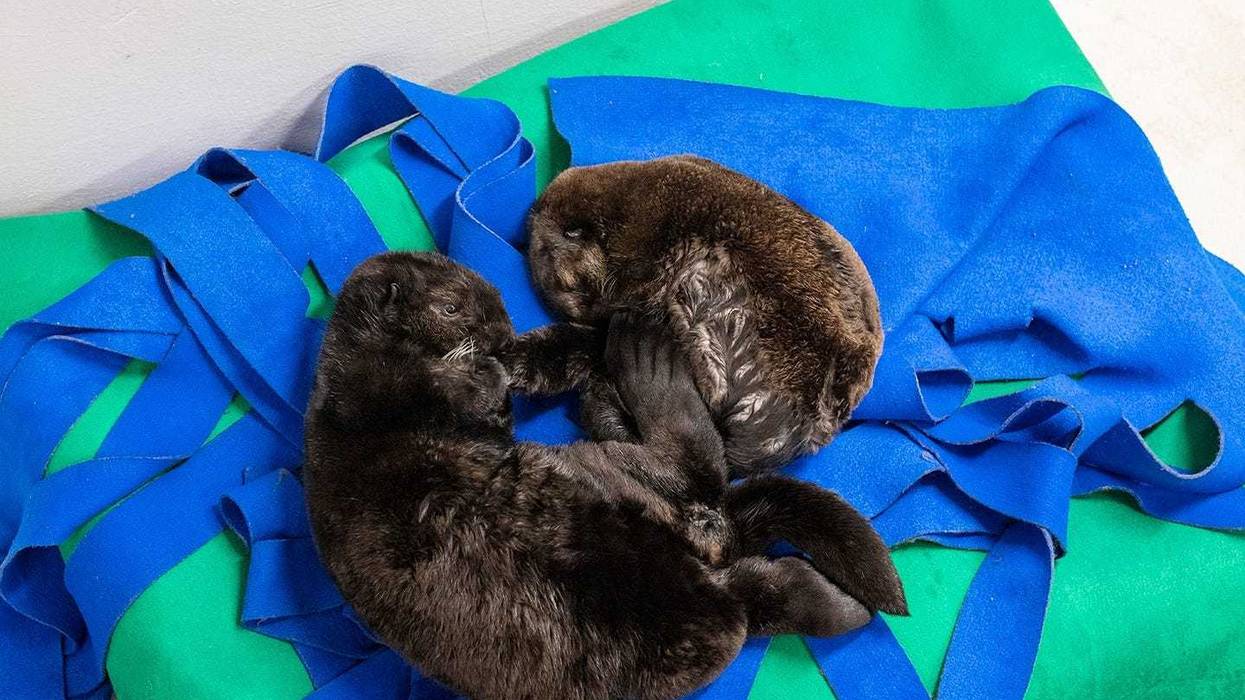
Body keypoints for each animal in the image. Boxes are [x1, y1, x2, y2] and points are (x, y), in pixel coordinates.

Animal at [304, 252, 897, 700]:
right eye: (450, 306)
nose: (499, 330)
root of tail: (716, 585)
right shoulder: (383, 389)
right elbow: (453, 392)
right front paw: (487, 368)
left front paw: (504, 364)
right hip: (612, 473)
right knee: (698, 464)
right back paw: (645, 353)